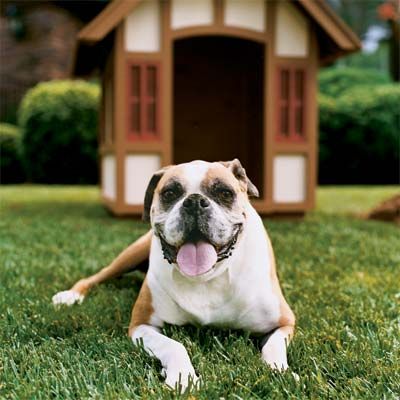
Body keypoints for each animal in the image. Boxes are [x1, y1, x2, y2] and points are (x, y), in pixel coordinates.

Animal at [53, 159, 296, 390]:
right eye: (170, 193)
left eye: (225, 193)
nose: (195, 202)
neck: (206, 278)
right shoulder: (141, 325)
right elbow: (174, 346)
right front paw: (183, 377)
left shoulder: (285, 323)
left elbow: (273, 347)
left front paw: (279, 372)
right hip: (129, 255)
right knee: (94, 278)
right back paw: (70, 296)